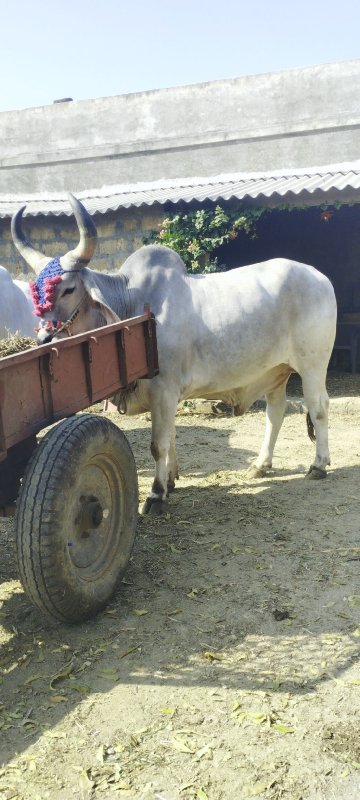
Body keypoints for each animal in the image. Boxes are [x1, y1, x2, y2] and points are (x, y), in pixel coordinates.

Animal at [11, 197, 338, 516]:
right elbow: (171, 438)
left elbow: (159, 444)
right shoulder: (166, 396)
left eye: (68, 289)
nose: (42, 338)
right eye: (35, 292)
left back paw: (319, 464)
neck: (134, 304)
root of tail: (321, 277)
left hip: (312, 365)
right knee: (276, 412)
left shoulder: (163, 390)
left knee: (319, 407)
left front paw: (156, 494)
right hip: (275, 372)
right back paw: (261, 464)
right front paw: (170, 481)